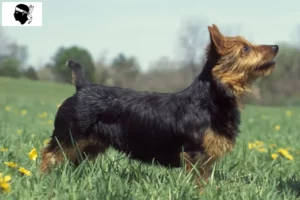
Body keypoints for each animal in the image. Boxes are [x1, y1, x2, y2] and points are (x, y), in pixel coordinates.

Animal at [39, 23, 278, 191]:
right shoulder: (195, 156)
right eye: (245, 48)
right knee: (48, 156)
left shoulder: (206, 160)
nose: (276, 46)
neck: (210, 98)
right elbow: (198, 183)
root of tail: (82, 87)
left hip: (88, 145)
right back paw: (42, 180)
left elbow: (205, 181)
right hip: (67, 137)